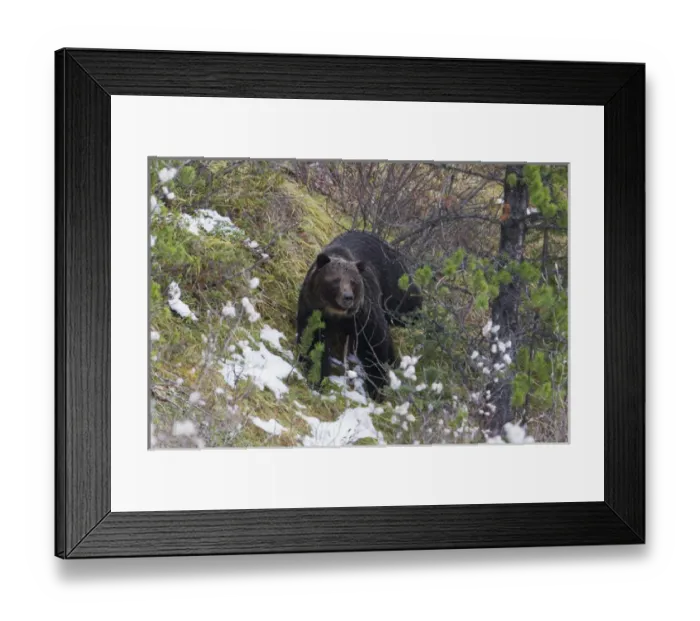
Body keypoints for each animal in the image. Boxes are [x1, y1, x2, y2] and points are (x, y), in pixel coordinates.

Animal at [296, 230, 422, 400]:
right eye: (336, 280)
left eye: (353, 282)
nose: (348, 297)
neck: (337, 314)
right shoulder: (315, 311)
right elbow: (313, 342)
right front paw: (316, 378)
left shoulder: (362, 315)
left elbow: (375, 344)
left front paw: (378, 386)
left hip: (393, 282)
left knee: (407, 303)